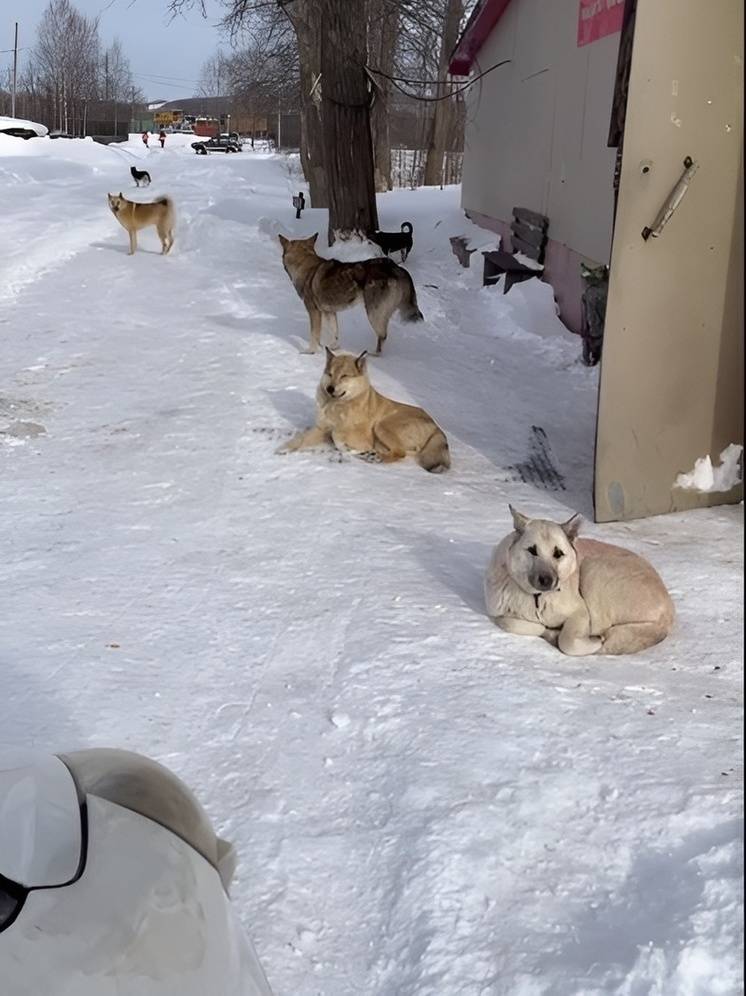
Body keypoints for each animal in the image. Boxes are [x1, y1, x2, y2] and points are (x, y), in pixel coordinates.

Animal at [274, 348, 448, 472]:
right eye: (330, 374)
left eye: (344, 376)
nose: (330, 388)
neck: (339, 406)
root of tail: (437, 427)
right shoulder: (320, 428)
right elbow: (301, 440)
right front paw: (285, 449)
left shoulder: (355, 436)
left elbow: (337, 436)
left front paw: (351, 449)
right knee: (408, 452)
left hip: (382, 425)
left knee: (400, 453)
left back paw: (375, 457)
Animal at [276, 232, 422, 354]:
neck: (305, 264)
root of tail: (396, 268)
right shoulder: (329, 312)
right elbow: (335, 332)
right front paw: (333, 347)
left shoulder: (314, 312)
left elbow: (314, 335)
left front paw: (310, 351)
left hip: (373, 313)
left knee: (382, 337)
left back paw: (373, 354)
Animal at [482, 506, 676, 652]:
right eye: (532, 550)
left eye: (558, 553)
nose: (546, 580)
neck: (537, 598)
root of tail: (667, 615)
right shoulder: (496, 614)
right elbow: (518, 624)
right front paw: (548, 631)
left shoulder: (581, 613)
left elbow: (568, 642)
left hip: (593, 570)